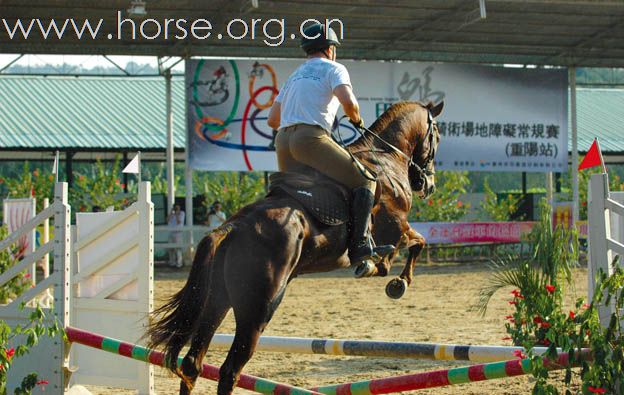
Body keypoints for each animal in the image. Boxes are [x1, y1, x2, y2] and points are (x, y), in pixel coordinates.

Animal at [148, 100, 444, 394]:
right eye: (437, 137)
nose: (428, 184)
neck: (386, 159)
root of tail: (231, 228)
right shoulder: (396, 227)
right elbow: (416, 242)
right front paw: (395, 281)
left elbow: (411, 245)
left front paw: (383, 272)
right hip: (259, 308)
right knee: (230, 369)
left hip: (217, 300)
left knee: (192, 364)